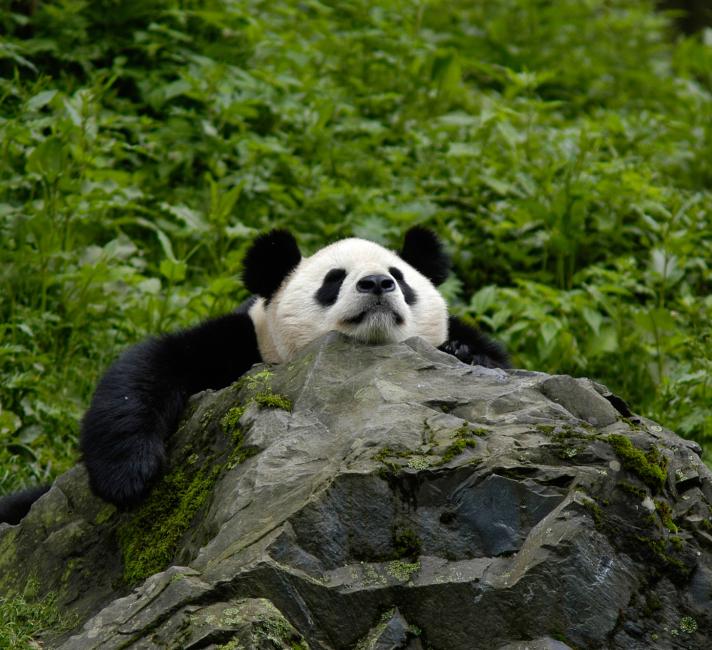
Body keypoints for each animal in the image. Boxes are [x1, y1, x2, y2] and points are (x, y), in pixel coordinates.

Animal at [0, 227, 506, 520]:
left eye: (399, 277)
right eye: (333, 280)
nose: (377, 284)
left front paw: (464, 353)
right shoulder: (245, 342)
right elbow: (150, 366)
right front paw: (129, 474)